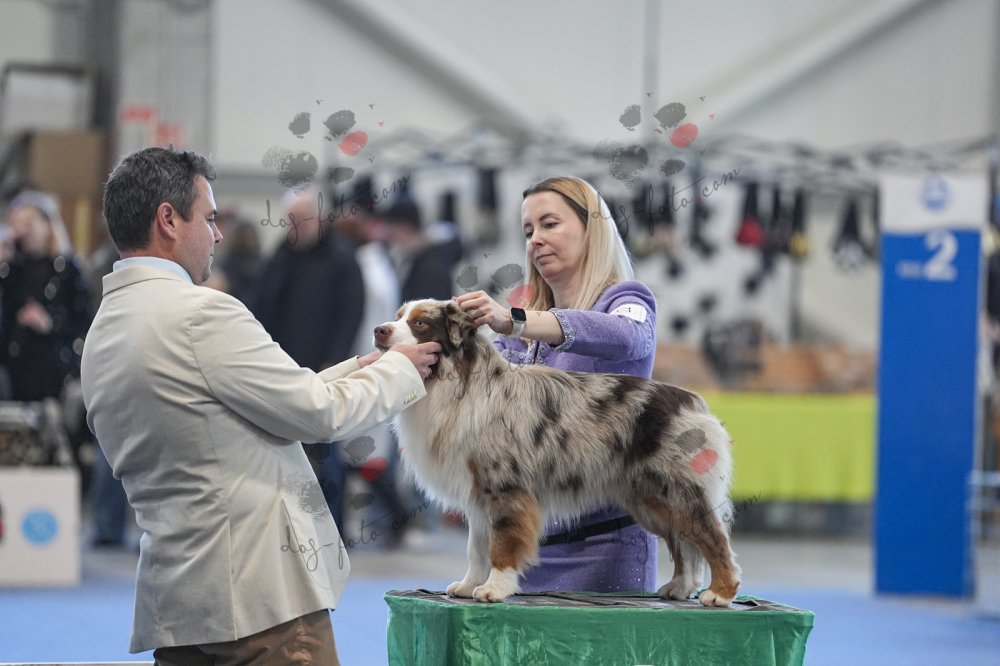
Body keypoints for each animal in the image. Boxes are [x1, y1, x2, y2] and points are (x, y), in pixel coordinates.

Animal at [374, 298, 741, 606]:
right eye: (397, 317)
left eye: (420, 324)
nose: (379, 330)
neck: (458, 384)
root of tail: (692, 400)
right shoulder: (478, 495)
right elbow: (476, 547)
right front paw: (467, 585)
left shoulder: (505, 488)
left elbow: (501, 544)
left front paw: (495, 589)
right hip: (649, 499)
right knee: (683, 543)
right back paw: (679, 587)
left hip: (675, 488)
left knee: (710, 536)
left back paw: (720, 593)